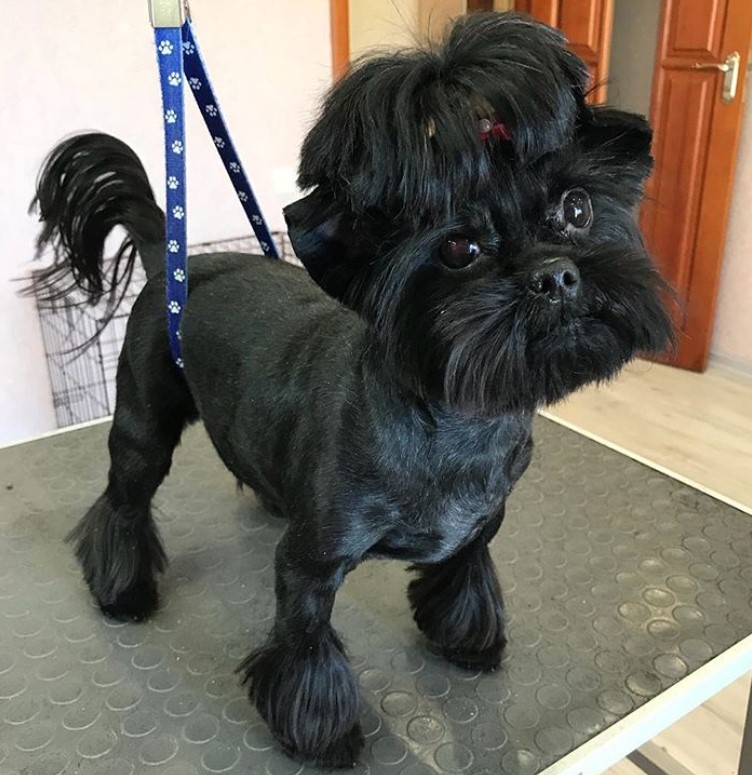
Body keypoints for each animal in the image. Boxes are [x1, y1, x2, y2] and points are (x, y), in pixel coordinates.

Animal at [32, 12, 672, 768]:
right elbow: (306, 644)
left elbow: (465, 575)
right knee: (123, 502)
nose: (555, 274)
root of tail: (172, 260)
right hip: (142, 422)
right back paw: (123, 589)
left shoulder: (482, 523)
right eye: (458, 248)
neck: (459, 426)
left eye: (575, 208)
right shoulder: (309, 565)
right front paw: (322, 731)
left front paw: (467, 639)